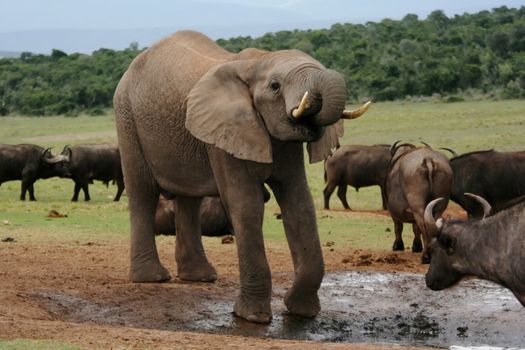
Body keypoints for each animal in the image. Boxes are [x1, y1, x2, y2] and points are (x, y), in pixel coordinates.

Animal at [113, 31, 368, 324]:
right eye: (275, 86)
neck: (257, 62)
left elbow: (299, 204)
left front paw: (302, 312)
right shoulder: (225, 133)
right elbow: (246, 205)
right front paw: (252, 317)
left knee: (189, 199)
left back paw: (201, 277)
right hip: (127, 118)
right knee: (142, 193)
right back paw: (153, 279)